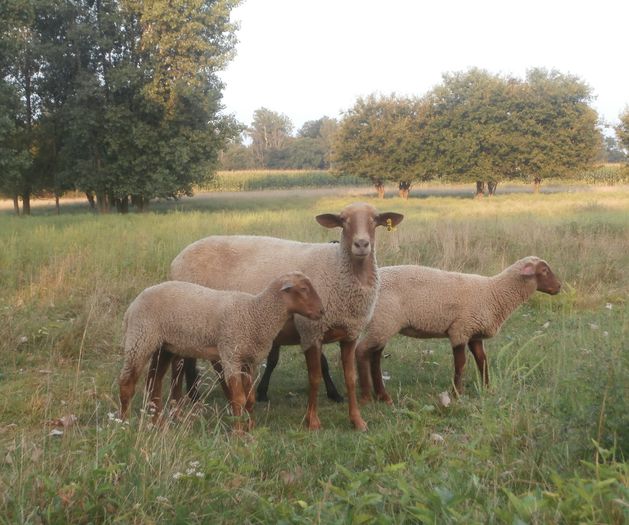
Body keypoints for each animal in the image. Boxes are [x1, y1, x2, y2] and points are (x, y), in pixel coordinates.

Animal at [118, 270, 324, 430]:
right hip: (140, 339)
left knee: (154, 383)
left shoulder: (249, 360)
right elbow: (238, 398)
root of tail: (132, 306)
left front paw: (250, 426)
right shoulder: (230, 354)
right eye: (303, 289)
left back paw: (158, 424)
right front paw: (238, 432)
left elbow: (250, 398)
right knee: (127, 383)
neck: (255, 313)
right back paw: (124, 422)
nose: (322, 311)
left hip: (164, 346)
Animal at [158, 202, 402, 430]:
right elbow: (314, 378)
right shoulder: (310, 332)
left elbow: (350, 378)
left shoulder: (350, 333)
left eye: (375, 220)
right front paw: (312, 421)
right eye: (343, 221)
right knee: (180, 365)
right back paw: (179, 407)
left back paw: (208, 398)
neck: (336, 268)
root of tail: (178, 258)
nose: (361, 244)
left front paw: (357, 421)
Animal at [356, 256, 560, 402]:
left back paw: (382, 395)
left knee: (374, 356)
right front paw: (456, 393)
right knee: (361, 351)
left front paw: (488, 389)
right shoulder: (460, 330)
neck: (494, 293)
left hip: (382, 324)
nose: (559, 287)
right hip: (384, 320)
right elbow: (461, 364)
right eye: (544, 270)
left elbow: (482, 360)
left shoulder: (474, 333)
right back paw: (368, 396)